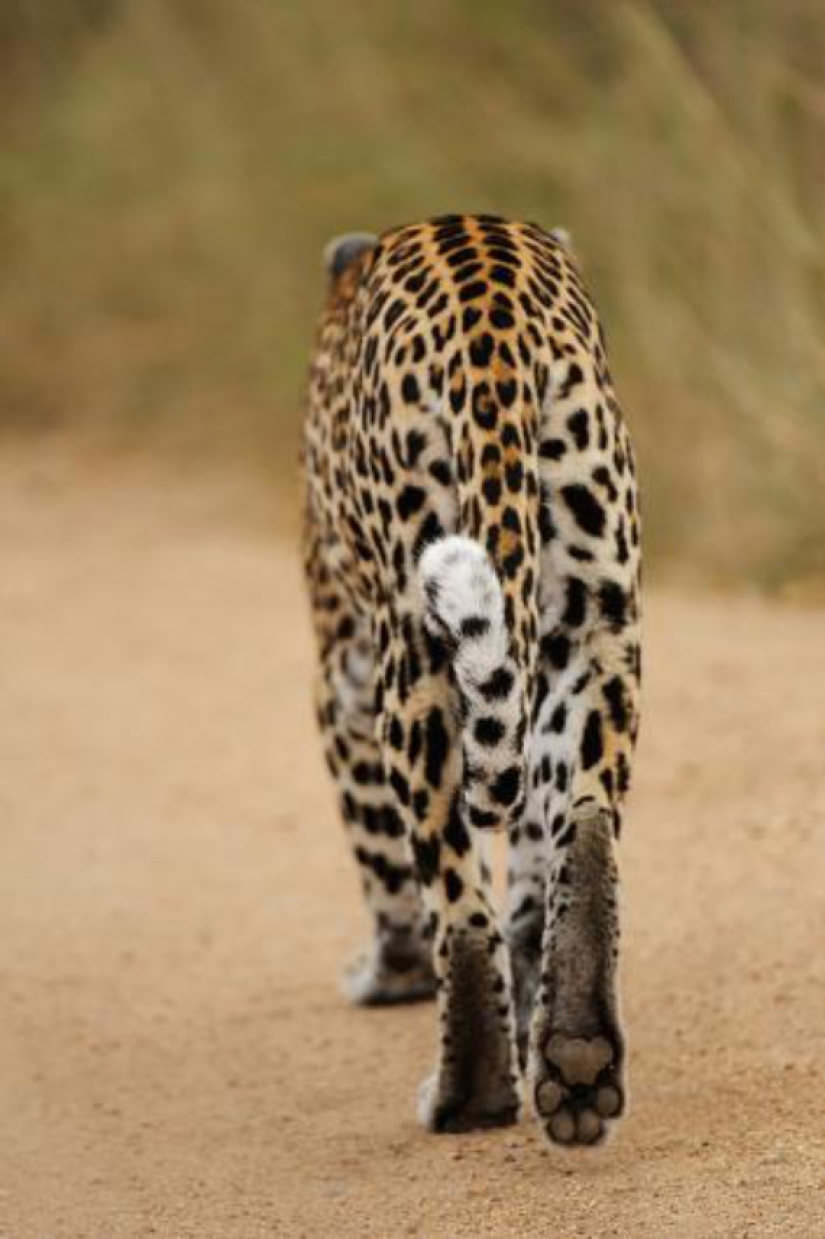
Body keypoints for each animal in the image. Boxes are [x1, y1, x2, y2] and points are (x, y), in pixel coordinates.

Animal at [298, 215, 639, 1149]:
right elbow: (526, 868)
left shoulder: (338, 676)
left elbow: (380, 854)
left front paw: (388, 974)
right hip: (600, 624)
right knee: (582, 830)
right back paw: (574, 1059)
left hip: (411, 656)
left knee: (453, 888)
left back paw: (471, 1093)